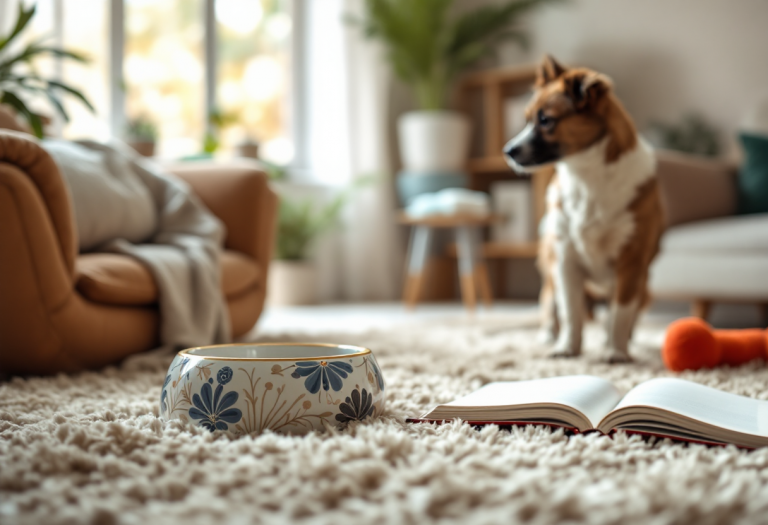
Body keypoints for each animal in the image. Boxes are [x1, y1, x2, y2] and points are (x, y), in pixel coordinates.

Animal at [508, 55, 664, 362]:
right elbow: (570, 312)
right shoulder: (565, 260)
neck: (586, 175)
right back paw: (548, 334)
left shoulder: (631, 264)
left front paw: (616, 350)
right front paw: (568, 347)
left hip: (645, 288)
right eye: (527, 119)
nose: (508, 151)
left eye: (546, 120)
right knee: (551, 304)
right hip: (551, 270)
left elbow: (620, 315)